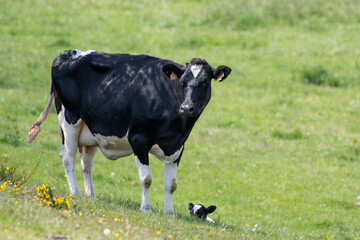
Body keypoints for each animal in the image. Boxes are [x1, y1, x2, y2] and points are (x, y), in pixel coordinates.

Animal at [27, 49, 231, 218]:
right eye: (182, 82)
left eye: (204, 83)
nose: (187, 107)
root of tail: (69, 53)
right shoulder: (138, 139)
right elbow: (146, 179)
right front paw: (146, 209)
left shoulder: (178, 146)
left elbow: (171, 184)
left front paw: (169, 213)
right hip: (69, 119)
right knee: (68, 157)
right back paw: (75, 193)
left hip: (92, 128)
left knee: (86, 163)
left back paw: (90, 195)